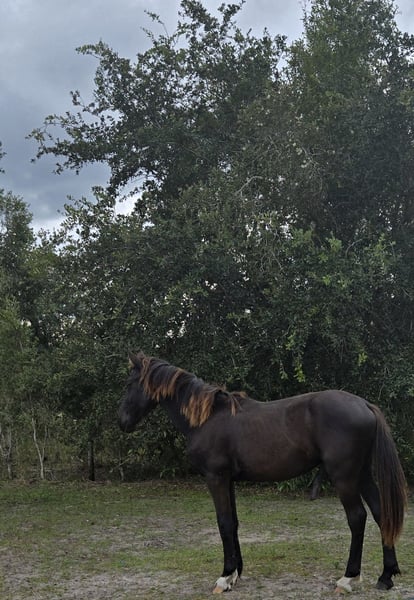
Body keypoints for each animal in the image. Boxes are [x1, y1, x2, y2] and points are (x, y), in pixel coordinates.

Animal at [118, 351, 407, 594]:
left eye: (130, 383)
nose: (122, 422)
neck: (209, 417)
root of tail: (365, 405)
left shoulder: (216, 478)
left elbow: (223, 523)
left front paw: (224, 577)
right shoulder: (228, 481)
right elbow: (233, 523)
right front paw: (235, 574)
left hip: (345, 477)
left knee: (357, 518)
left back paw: (347, 578)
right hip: (362, 474)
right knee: (381, 514)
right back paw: (386, 576)